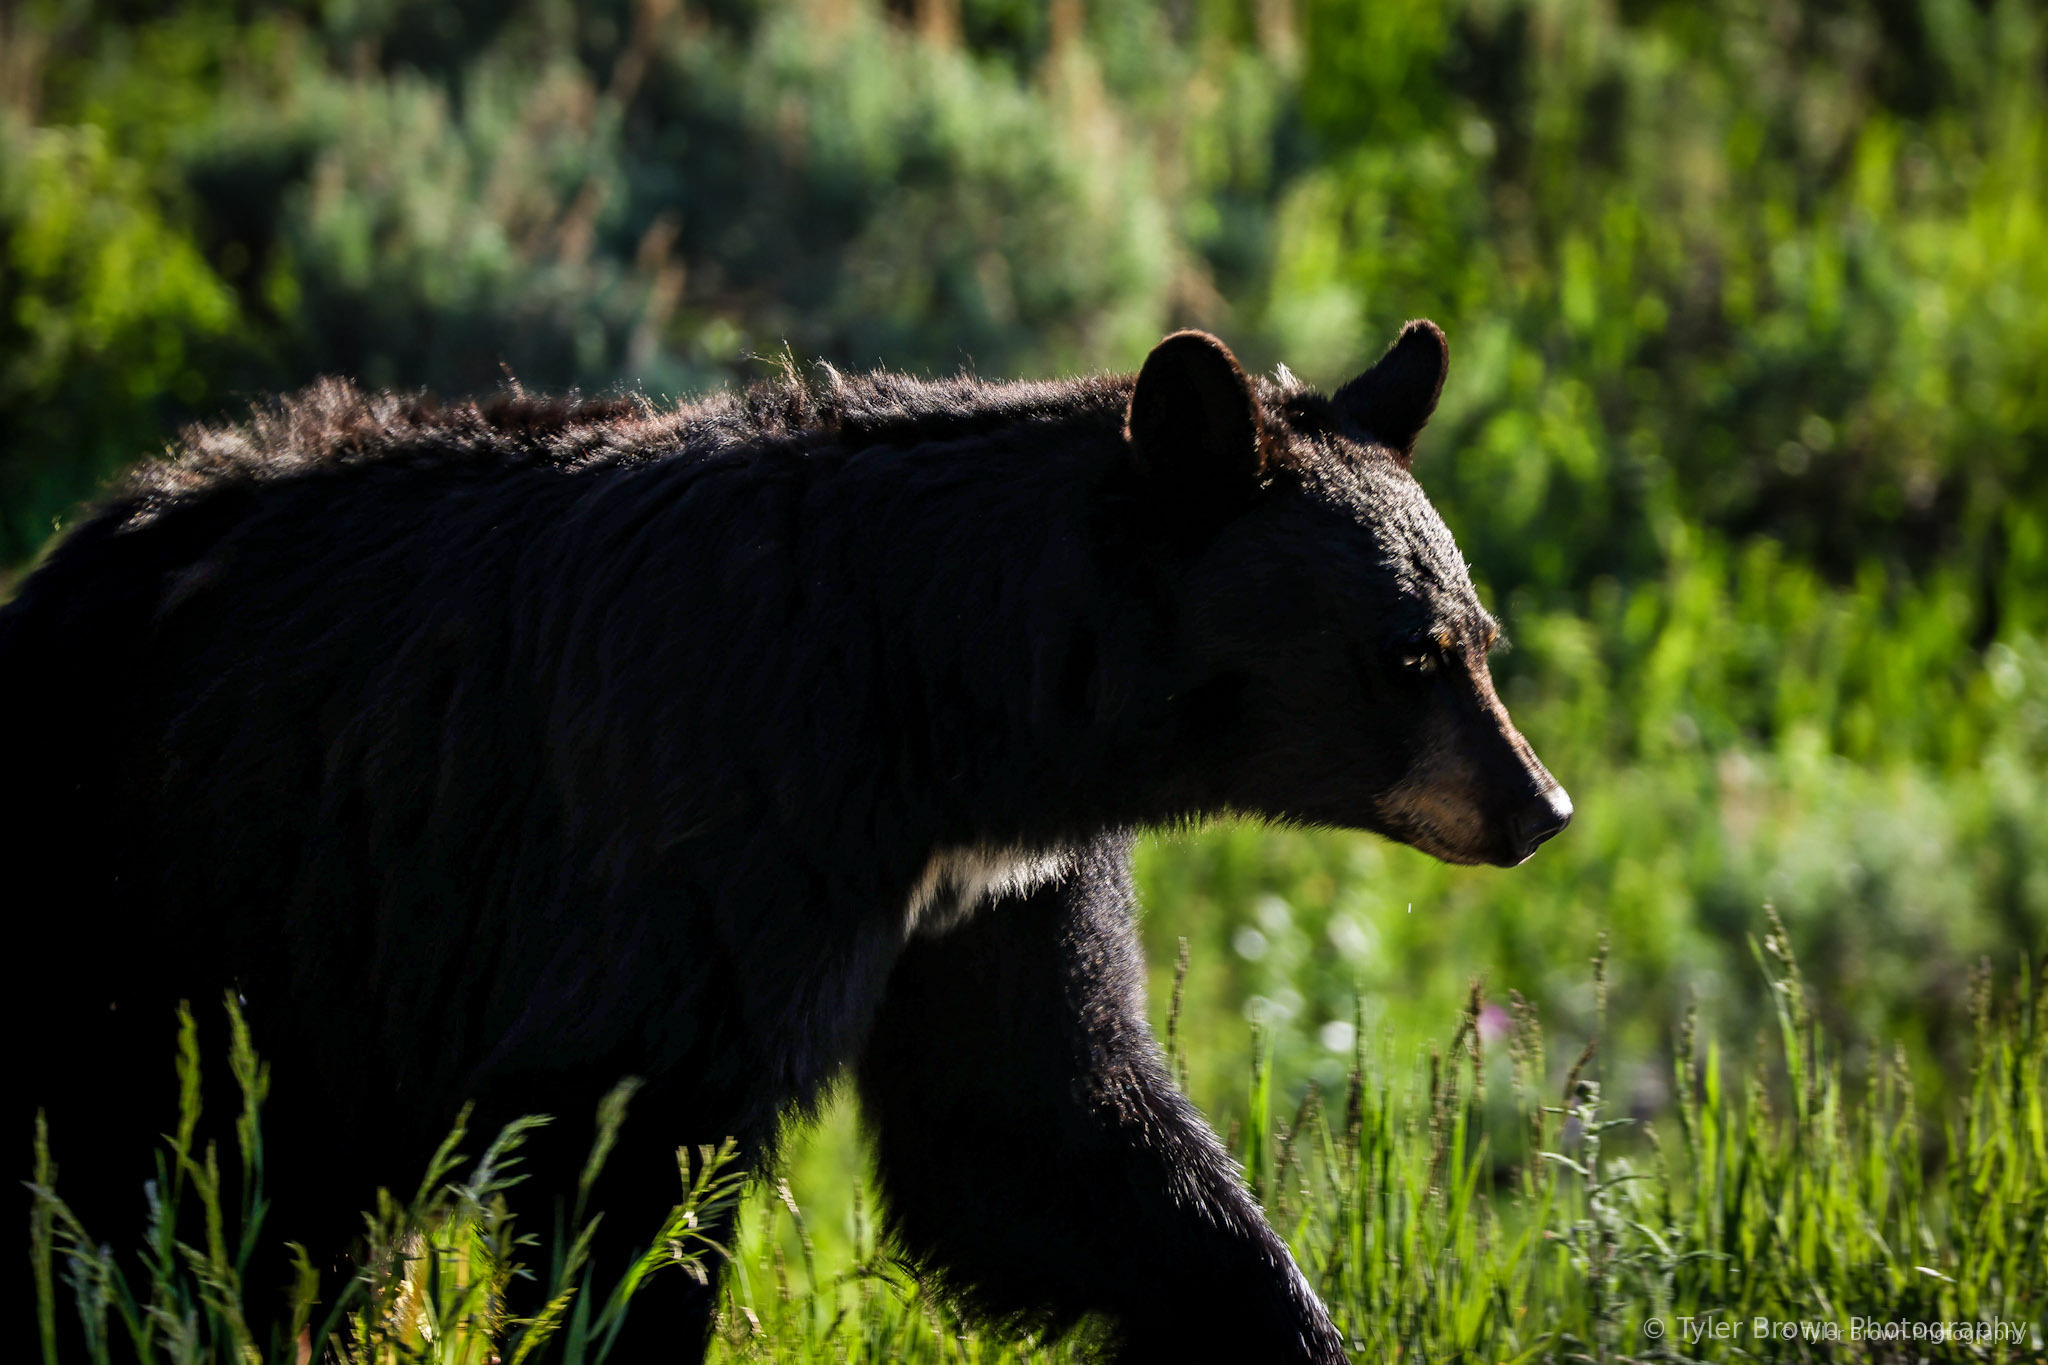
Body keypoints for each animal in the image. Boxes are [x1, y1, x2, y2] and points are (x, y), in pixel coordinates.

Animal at [4, 320, 1569, 1363]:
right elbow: (630, 1141)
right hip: (159, 897)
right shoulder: (713, 819)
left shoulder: (993, 891)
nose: (1537, 807)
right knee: (136, 1192)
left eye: (1479, 638)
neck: (943, 704)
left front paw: (1282, 1319)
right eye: (1411, 656)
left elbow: (1040, 1125)